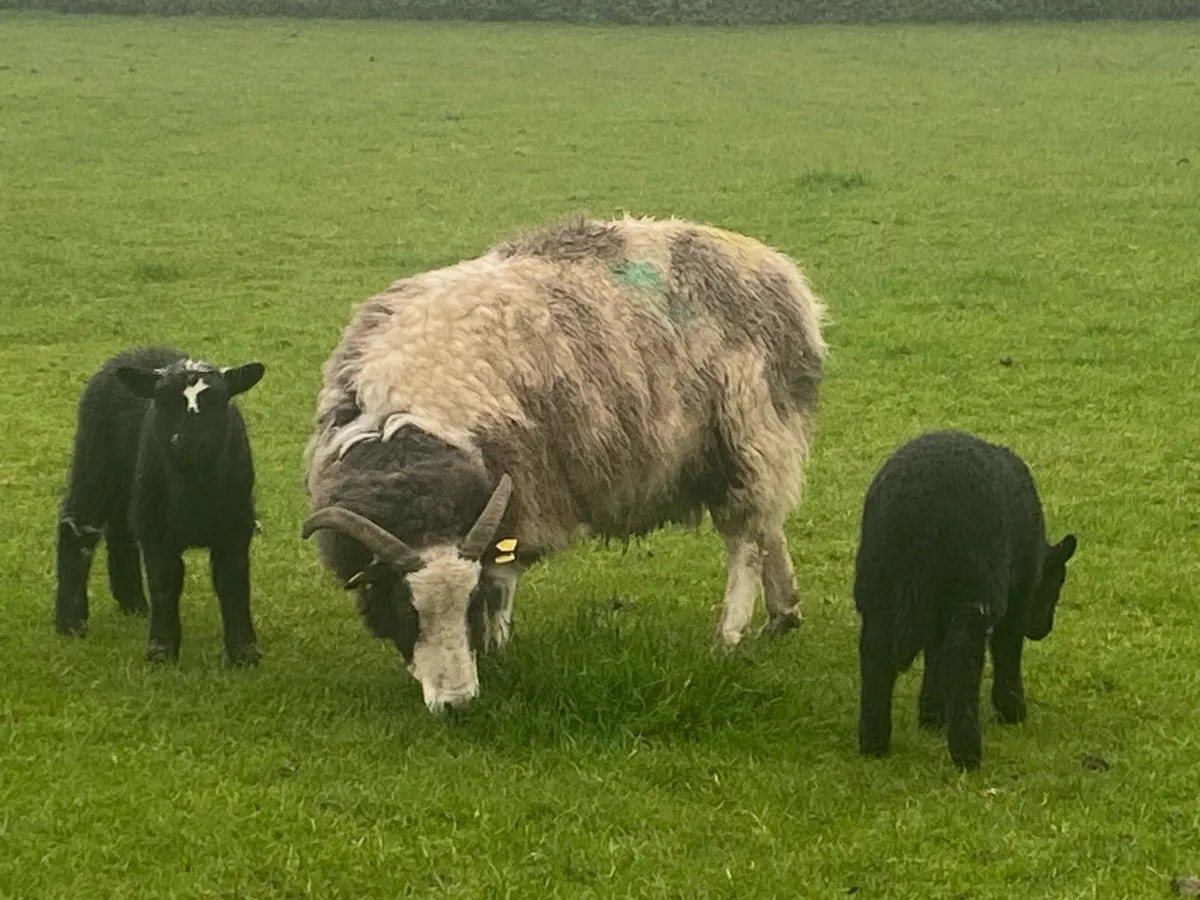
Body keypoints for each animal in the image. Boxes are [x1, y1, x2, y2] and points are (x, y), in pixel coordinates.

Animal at [54, 346, 266, 666]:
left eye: (217, 401)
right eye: (163, 401)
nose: (188, 442)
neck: (193, 489)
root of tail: (136, 351)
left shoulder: (235, 528)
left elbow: (232, 581)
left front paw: (243, 654)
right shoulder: (157, 532)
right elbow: (165, 582)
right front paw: (161, 652)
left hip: (133, 486)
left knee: (121, 532)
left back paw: (133, 604)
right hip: (95, 457)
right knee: (78, 529)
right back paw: (70, 623)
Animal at [300, 215, 828, 713]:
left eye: (469, 603)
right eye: (406, 609)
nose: (457, 704)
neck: (406, 423)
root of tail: (782, 273)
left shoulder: (523, 491)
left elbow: (503, 579)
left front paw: (496, 649)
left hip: (750, 430)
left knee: (746, 540)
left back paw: (728, 637)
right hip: (742, 450)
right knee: (768, 524)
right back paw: (783, 615)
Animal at [852, 428, 1078, 770]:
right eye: (1057, 582)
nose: (1043, 629)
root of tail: (915, 508)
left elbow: (935, 657)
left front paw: (932, 715)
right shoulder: (1017, 595)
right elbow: (1007, 648)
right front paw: (1012, 712)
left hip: (877, 589)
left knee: (876, 654)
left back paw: (874, 742)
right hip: (971, 590)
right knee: (963, 661)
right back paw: (967, 754)